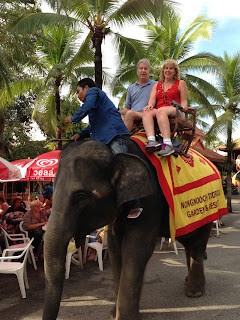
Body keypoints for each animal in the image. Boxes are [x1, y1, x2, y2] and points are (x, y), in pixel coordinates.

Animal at [42, 140, 212, 320]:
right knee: (189, 242)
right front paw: (113, 314)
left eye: (81, 196)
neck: (113, 151)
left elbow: (135, 251)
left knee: (197, 243)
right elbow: (115, 249)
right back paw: (188, 282)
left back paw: (194, 292)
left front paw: (123, 317)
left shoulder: (150, 201)